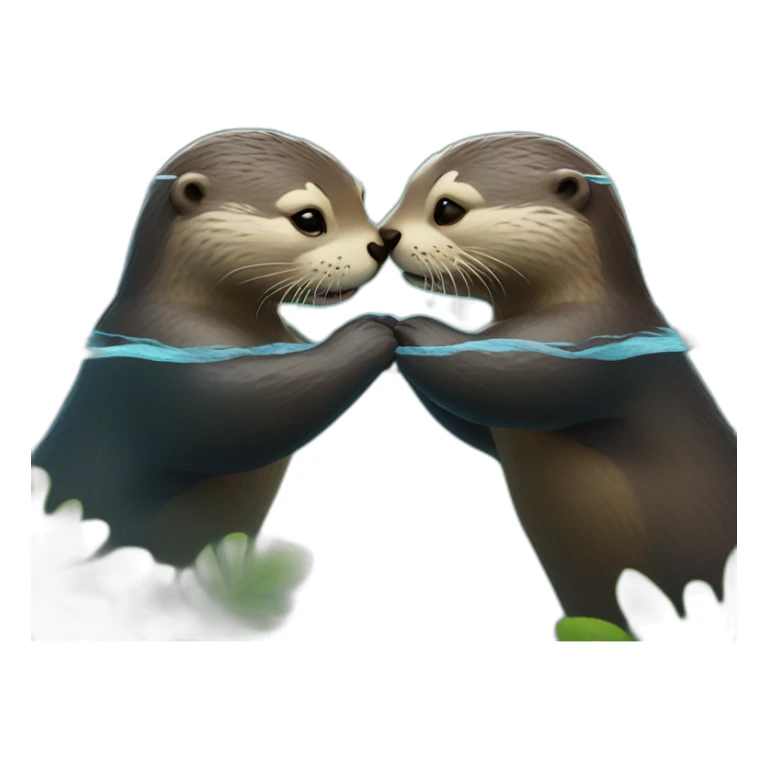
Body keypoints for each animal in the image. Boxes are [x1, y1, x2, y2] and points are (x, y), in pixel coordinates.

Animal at [33, 129, 397, 568]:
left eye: (361, 196)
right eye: (309, 219)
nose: (380, 245)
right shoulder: (164, 361)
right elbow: (241, 416)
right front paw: (374, 332)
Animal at [380, 132, 736, 631]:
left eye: (447, 208)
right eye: (405, 193)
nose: (386, 234)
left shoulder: (595, 345)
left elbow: (512, 377)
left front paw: (409, 329)